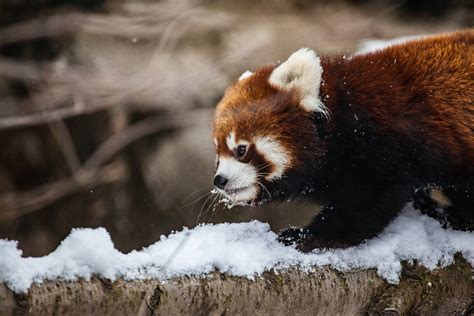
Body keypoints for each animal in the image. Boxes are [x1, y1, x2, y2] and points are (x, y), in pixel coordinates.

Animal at [212, 30, 474, 252]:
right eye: (218, 155)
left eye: (241, 149)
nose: (219, 180)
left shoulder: (380, 146)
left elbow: (368, 200)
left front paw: (308, 236)